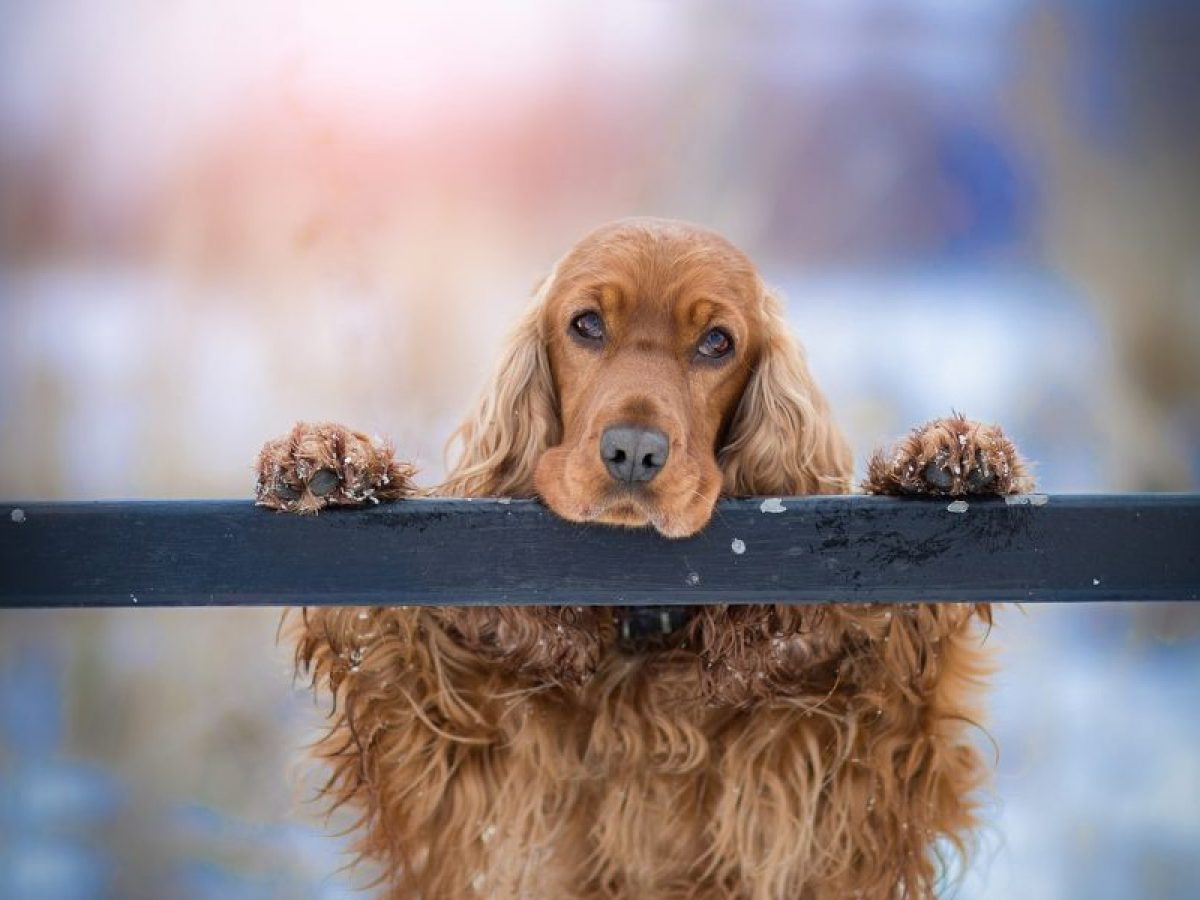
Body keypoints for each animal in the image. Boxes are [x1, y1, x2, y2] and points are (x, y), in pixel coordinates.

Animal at [255, 220, 1032, 900]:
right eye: (586, 325)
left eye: (717, 342)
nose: (633, 451)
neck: (642, 632)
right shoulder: (457, 779)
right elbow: (387, 645)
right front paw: (329, 461)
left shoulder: (843, 785)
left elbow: (904, 677)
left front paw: (944, 459)